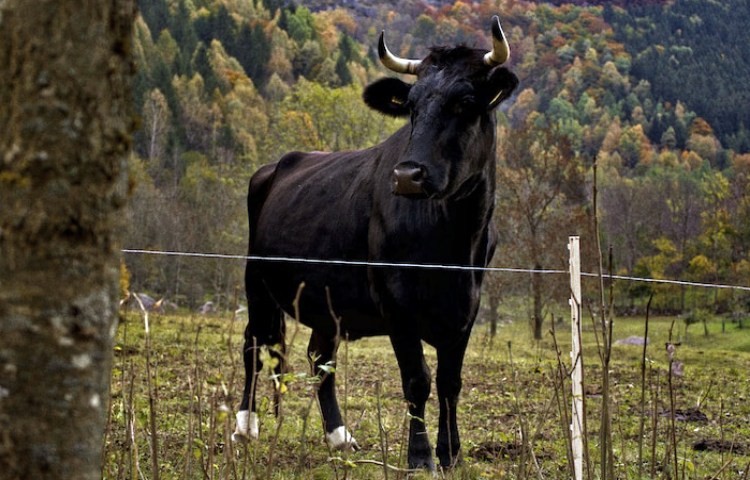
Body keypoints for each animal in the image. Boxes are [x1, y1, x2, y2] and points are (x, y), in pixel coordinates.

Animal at [232, 16, 520, 470]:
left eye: (466, 101)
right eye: (411, 105)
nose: (407, 175)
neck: (454, 244)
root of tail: (279, 163)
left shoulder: (466, 309)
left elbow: (450, 382)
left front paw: (451, 453)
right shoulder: (396, 303)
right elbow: (417, 380)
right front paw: (420, 457)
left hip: (326, 301)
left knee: (319, 359)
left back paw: (339, 436)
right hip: (256, 281)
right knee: (254, 345)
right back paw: (246, 427)